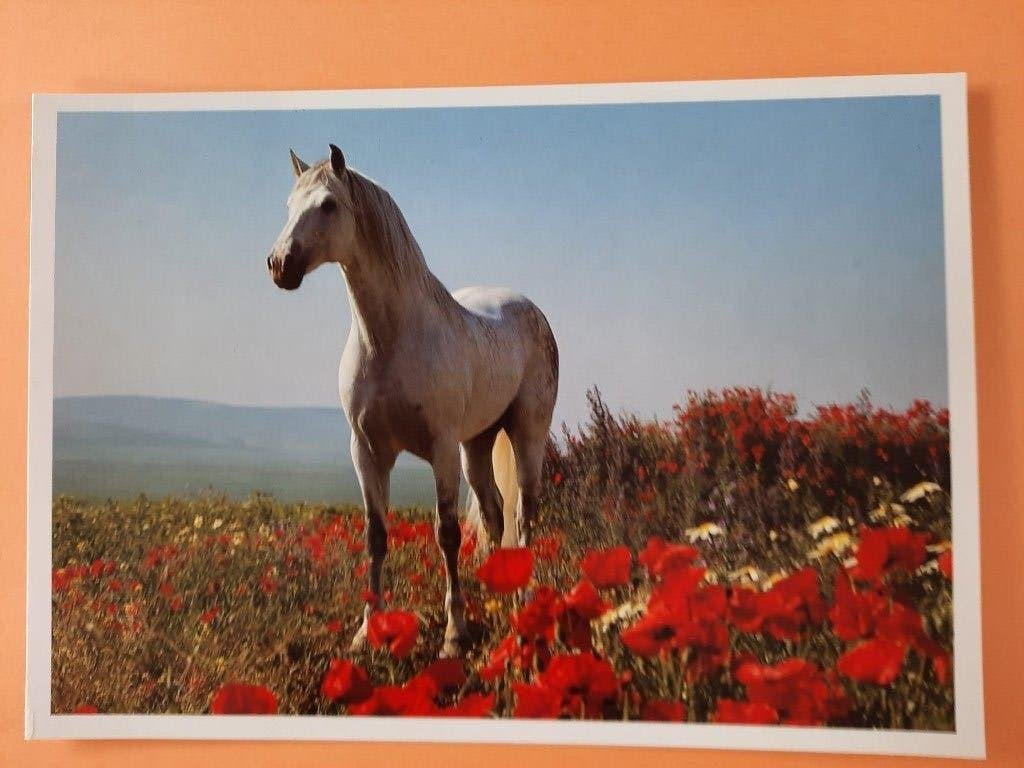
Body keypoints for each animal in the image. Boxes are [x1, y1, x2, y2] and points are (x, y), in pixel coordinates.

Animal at [267, 145, 559, 657]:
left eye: (328, 205)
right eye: (288, 205)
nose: (280, 264)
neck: (391, 340)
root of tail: (529, 309)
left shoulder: (440, 450)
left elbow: (447, 535)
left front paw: (453, 636)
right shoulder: (367, 453)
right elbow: (376, 536)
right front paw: (366, 633)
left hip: (526, 435)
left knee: (524, 513)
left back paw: (523, 601)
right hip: (477, 444)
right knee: (495, 511)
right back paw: (494, 593)